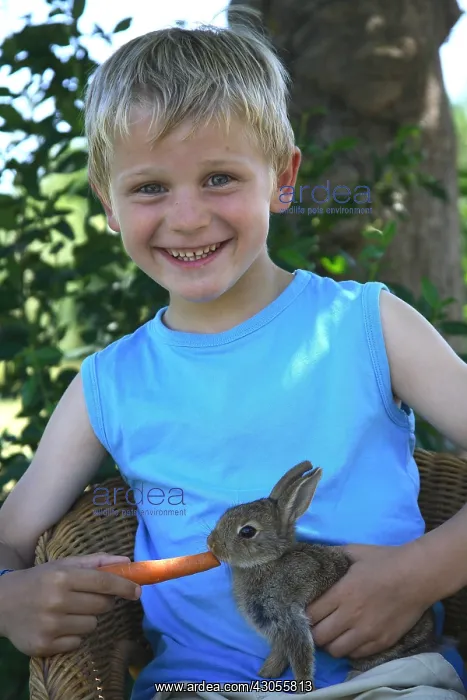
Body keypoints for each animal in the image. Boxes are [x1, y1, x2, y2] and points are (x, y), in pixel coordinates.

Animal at [206, 460, 436, 685]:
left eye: (247, 531)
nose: (211, 544)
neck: (269, 562)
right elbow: (281, 652)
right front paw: (267, 673)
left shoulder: (290, 617)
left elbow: (301, 657)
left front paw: (303, 687)